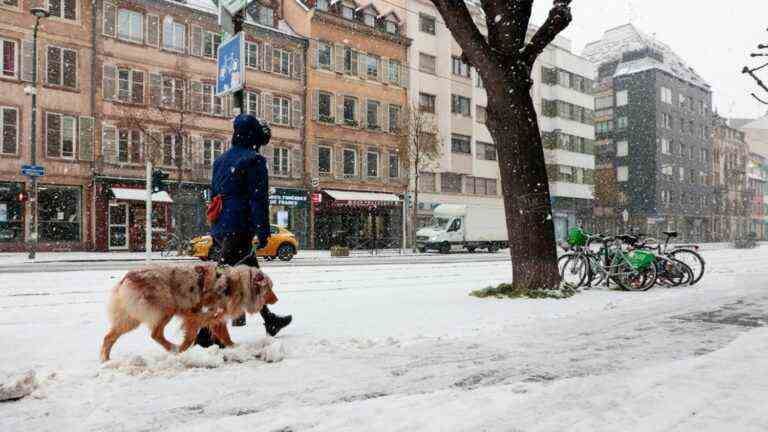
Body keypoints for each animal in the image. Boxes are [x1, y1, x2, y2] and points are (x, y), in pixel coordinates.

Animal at [100, 264, 276, 362]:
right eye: (269, 288)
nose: (277, 299)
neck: (238, 284)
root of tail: (127, 277)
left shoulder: (214, 317)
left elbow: (224, 336)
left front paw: (234, 348)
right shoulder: (200, 314)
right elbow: (191, 335)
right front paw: (182, 351)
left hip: (131, 318)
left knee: (109, 337)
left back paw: (105, 360)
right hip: (166, 309)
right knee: (155, 334)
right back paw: (173, 348)